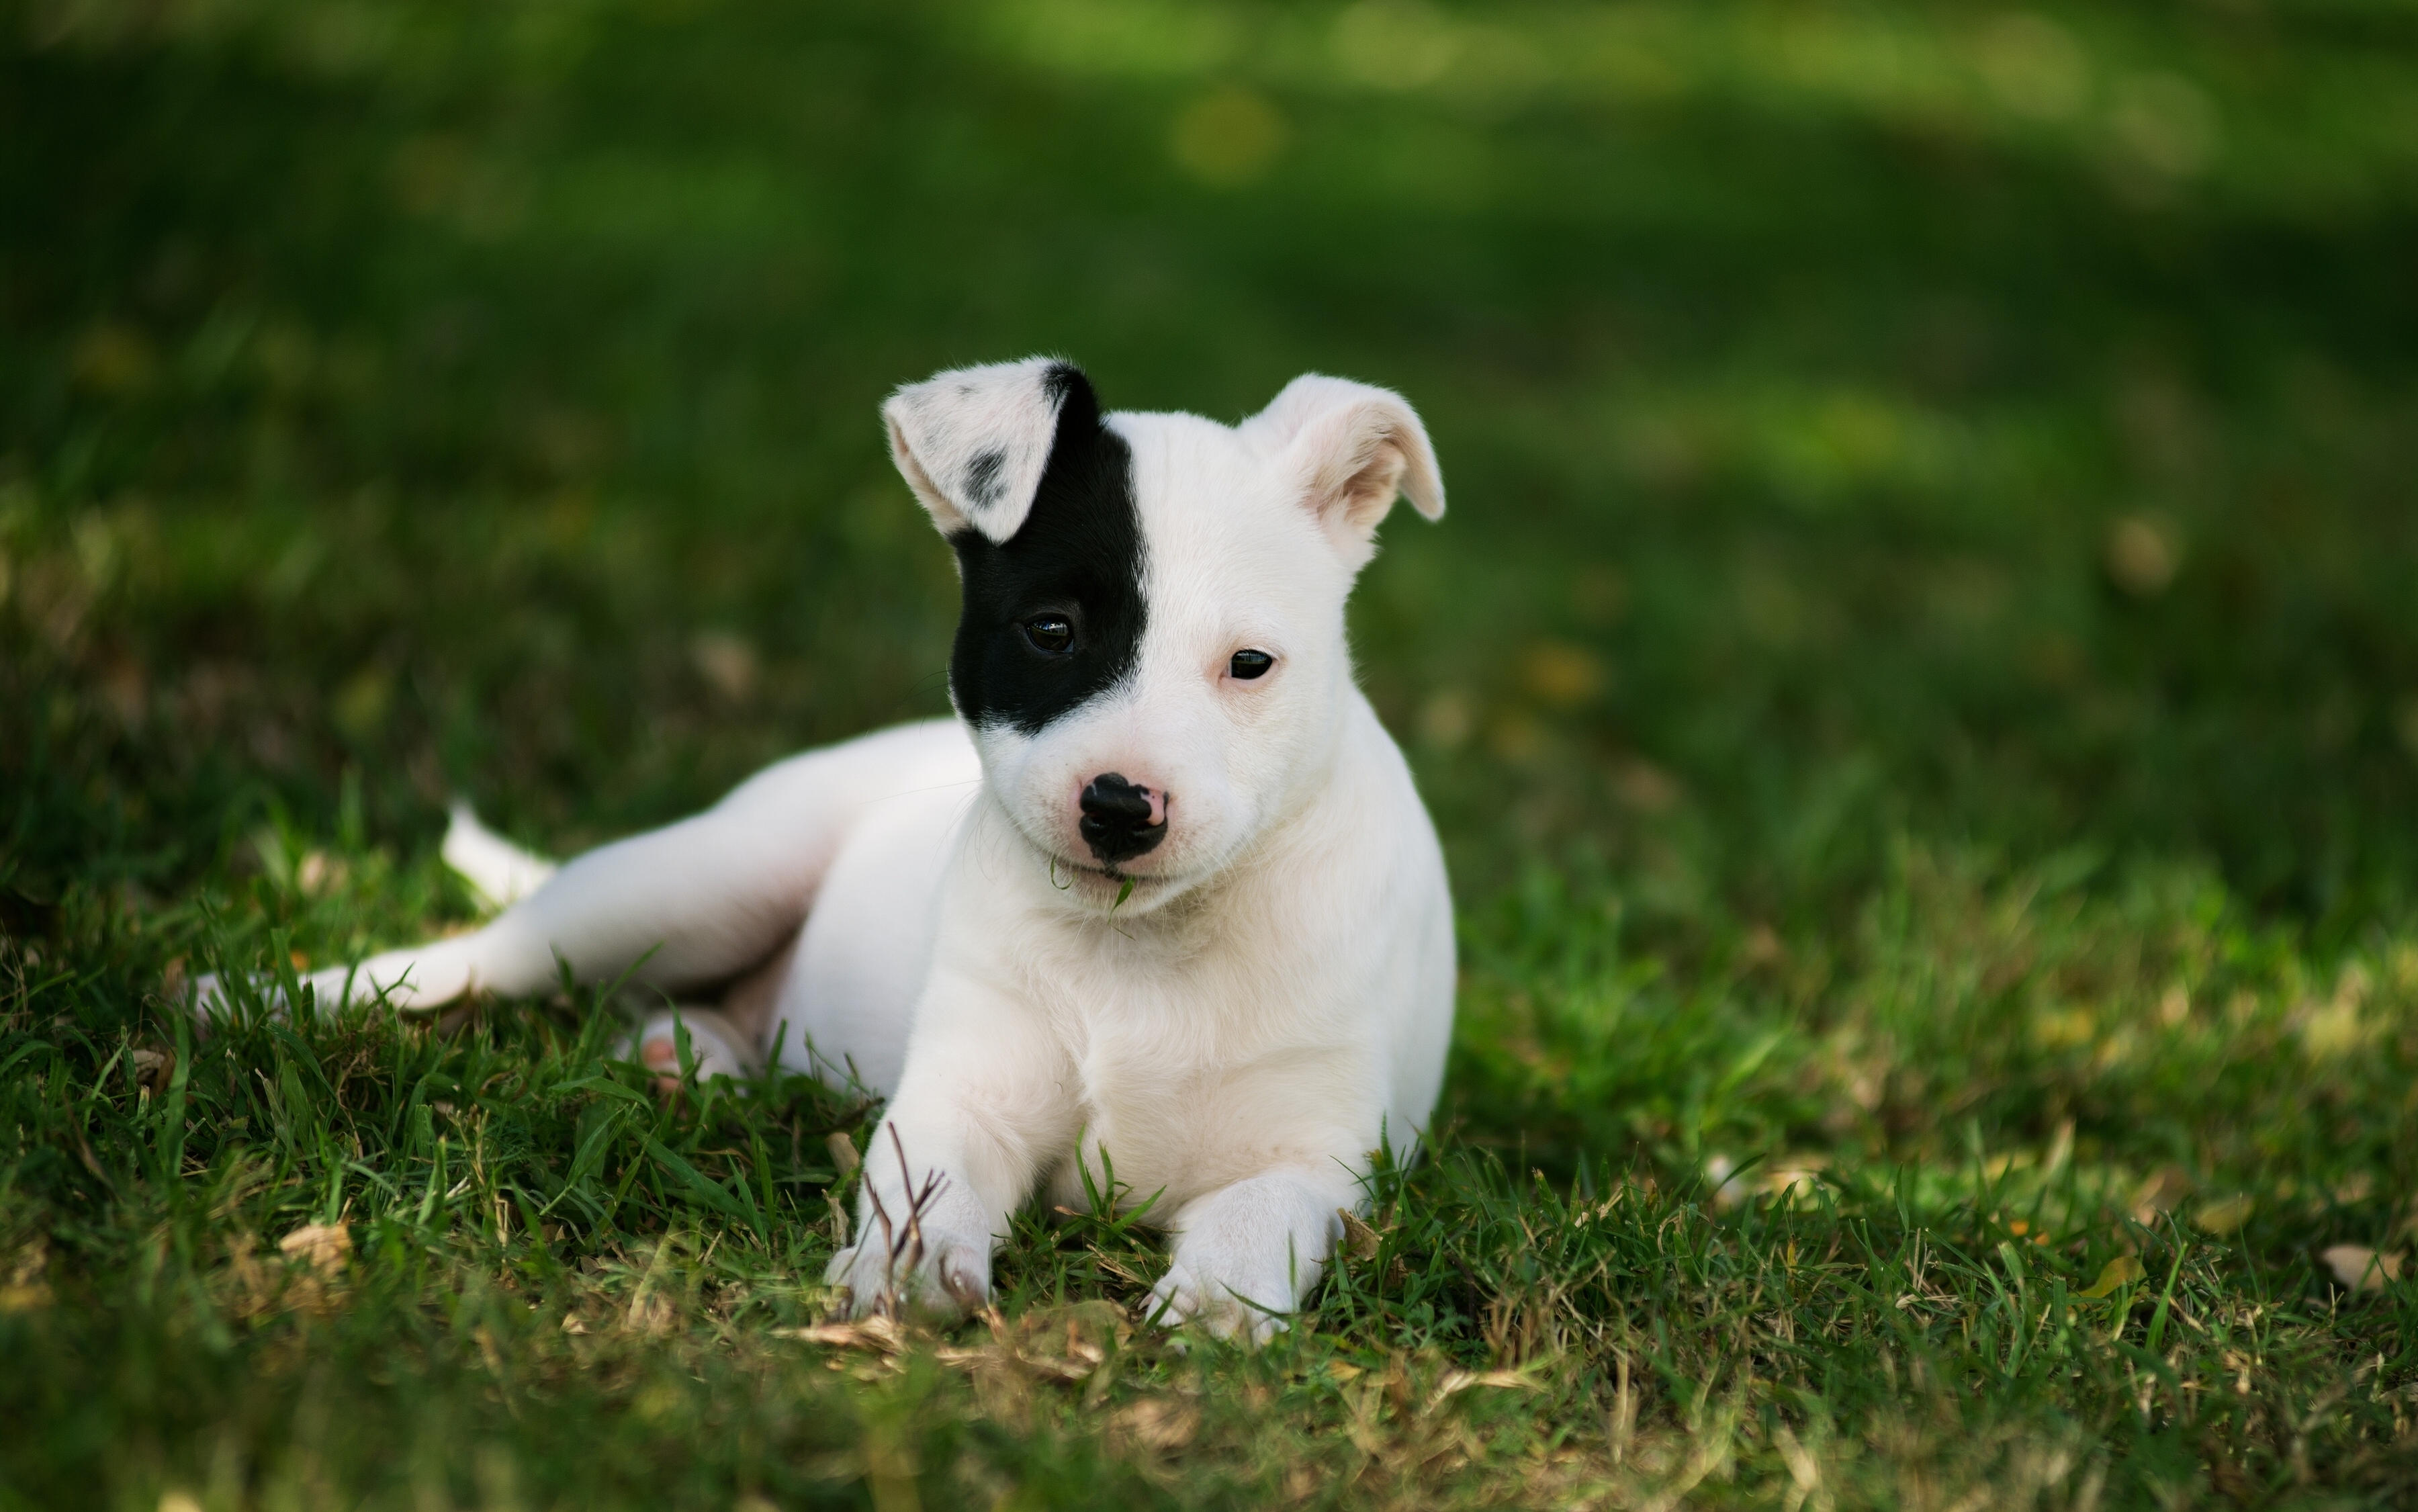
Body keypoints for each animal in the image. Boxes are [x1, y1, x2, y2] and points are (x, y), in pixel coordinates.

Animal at [212, 360, 1451, 1335]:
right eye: (1052, 631)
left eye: (1251, 665)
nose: (1118, 805)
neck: (1143, 948)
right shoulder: (961, 1092)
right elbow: (928, 1180)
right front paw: (909, 1266)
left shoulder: (1318, 1154)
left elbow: (1259, 1212)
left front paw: (1217, 1304)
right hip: (696, 883)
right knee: (491, 954)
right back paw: (263, 997)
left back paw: (689, 1057)